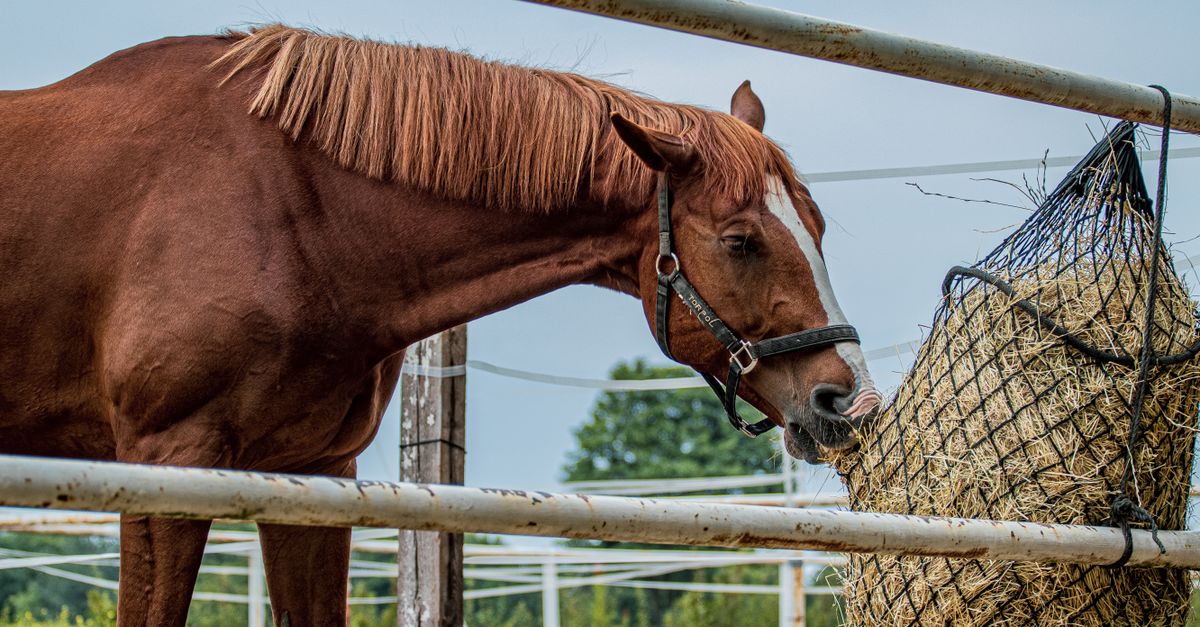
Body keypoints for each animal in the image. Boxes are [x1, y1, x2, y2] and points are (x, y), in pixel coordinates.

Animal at [0, 24, 879, 625]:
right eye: (740, 240)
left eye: (817, 226)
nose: (848, 400)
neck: (285, 206)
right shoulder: (165, 462)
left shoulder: (312, 473)